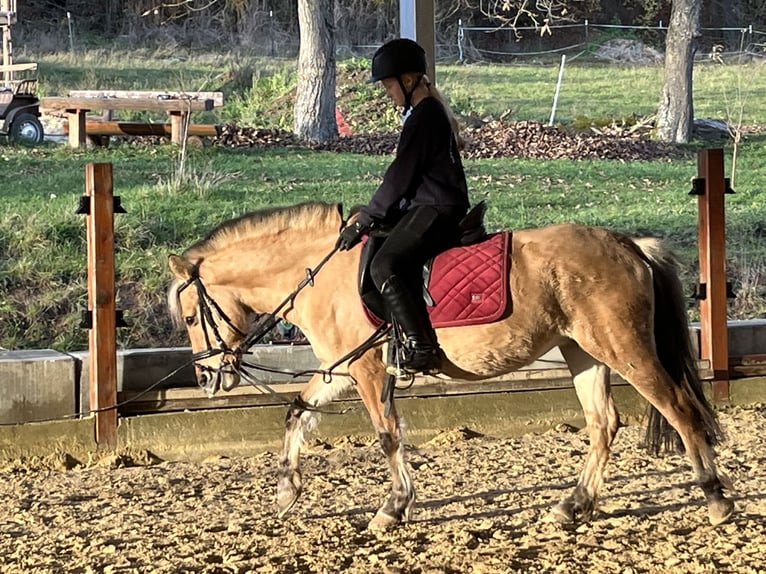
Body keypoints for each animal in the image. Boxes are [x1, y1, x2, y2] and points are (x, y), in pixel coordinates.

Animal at [166, 201, 734, 530]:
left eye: (192, 315)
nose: (208, 377)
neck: (321, 274)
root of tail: (628, 243)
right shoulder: (340, 369)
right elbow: (296, 412)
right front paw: (286, 491)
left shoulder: (368, 371)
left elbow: (387, 435)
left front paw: (393, 507)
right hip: (584, 352)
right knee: (604, 424)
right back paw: (573, 505)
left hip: (622, 348)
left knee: (679, 410)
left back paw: (716, 500)